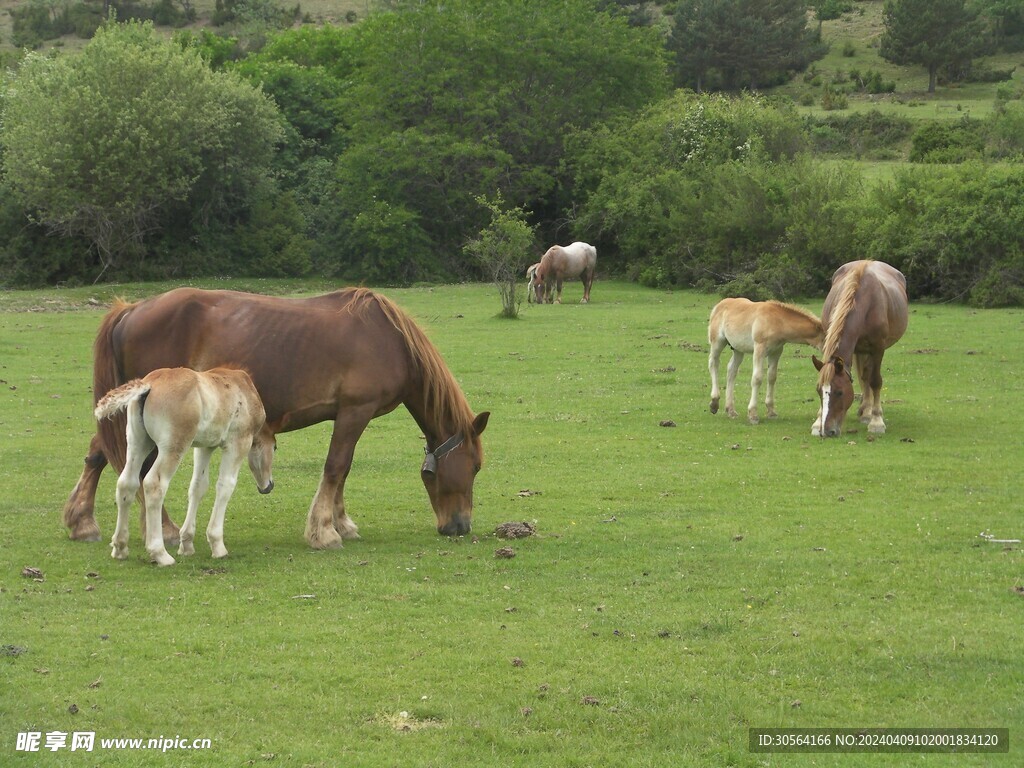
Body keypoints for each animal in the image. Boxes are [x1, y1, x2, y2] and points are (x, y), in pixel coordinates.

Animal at [92, 366, 274, 565]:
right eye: (275, 448)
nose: (269, 486)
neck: (243, 390)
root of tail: (149, 384)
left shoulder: (205, 447)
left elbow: (198, 486)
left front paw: (186, 543)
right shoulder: (238, 442)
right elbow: (225, 485)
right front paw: (217, 545)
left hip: (137, 443)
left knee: (127, 483)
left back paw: (120, 547)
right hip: (173, 448)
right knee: (154, 485)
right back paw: (160, 553)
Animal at [811, 260, 909, 436]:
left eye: (840, 392)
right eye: (819, 391)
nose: (828, 431)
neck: (865, 300)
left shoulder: (877, 348)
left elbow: (875, 381)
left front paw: (876, 421)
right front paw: (817, 422)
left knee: (868, 377)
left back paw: (869, 413)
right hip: (860, 350)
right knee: (864, 377)